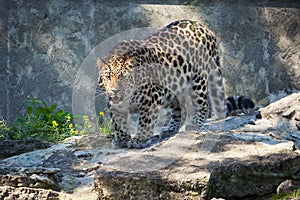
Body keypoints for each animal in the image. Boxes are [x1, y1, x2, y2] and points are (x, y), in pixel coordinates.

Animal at [97, 19, 226, 148]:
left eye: (123, 77)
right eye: (108, 77)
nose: (115, 91)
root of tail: (203, 27)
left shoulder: (151, 97)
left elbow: (146, 120)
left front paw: (140, 139)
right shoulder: (114, 104)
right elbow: (118, 122)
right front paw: (122, 139)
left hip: (198, 79)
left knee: (203, 103)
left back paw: (195, 123)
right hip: (173, 89)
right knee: (180, 110)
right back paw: (170, 129)